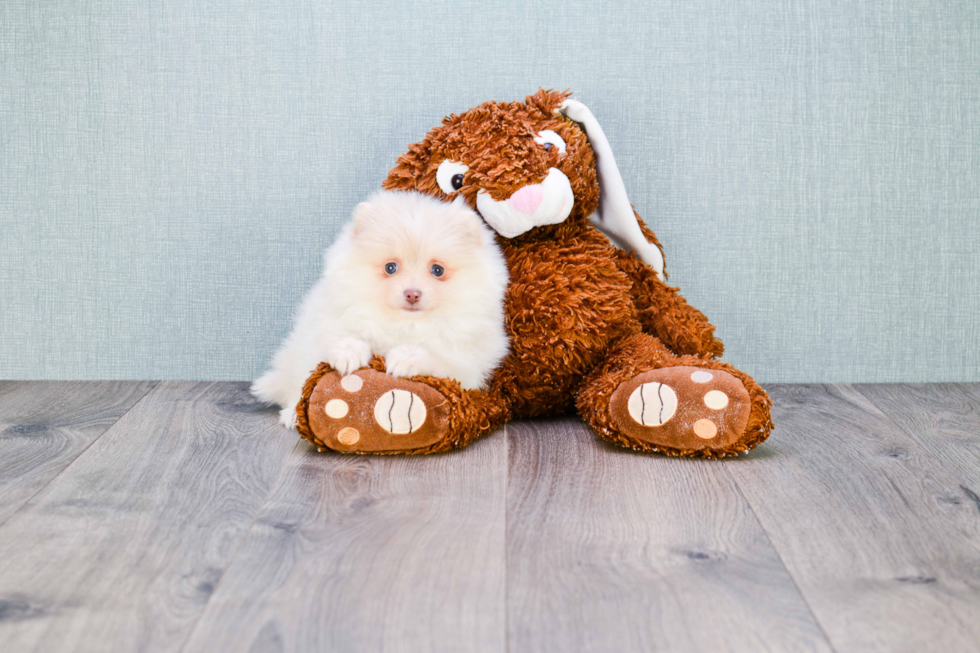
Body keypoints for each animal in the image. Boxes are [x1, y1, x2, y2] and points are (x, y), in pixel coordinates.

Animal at [253, 187, 510, 428]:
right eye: (390, 267)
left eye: (437, 270)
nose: (412, 293)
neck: (406, 324)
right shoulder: (329, 322)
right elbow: (346, 336)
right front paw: (348, 353)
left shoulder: (466, 364)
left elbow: (436, 358)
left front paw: (407, 358)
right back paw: (293, 414)